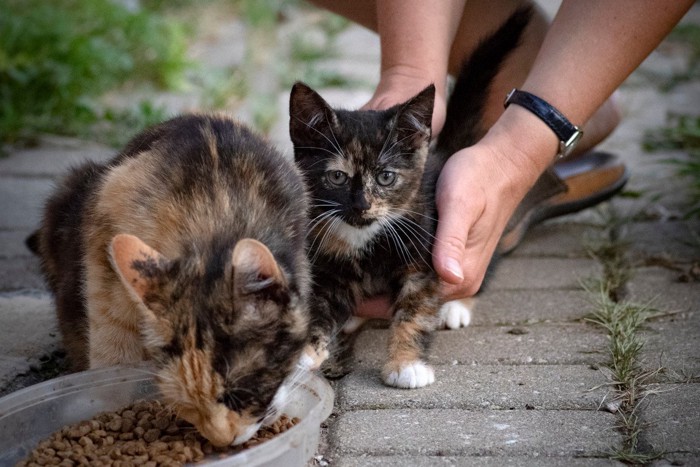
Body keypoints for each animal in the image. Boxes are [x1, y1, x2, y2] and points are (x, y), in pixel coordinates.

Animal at [29, 113, 308, 446]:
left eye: (240, 395)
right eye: (188, 404)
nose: (222, 441)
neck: (217, 215)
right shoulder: (102, 241)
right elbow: (112, 344)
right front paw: (103, 402)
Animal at [288, 7, 532, 390]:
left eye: (386, 177)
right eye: (337, 177)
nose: (361, 205)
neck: (365, 237)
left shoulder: (424, 258)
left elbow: (415, 312)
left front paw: (407, 364)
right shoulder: (326, 266)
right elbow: (318, 308)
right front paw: (302, 355)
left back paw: (456, 306)